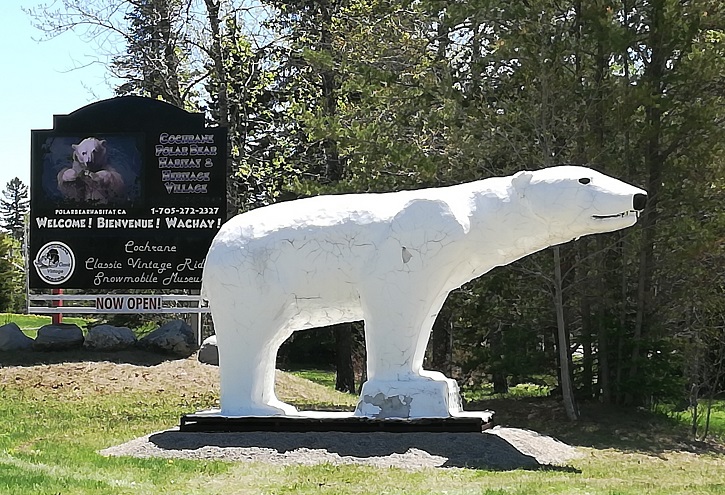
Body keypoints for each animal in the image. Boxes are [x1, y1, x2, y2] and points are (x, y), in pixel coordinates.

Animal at [201, 166, 648, 418]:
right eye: (585, 179)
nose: (639, 196)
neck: (472, 216)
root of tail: (216, 242)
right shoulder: (421, 237)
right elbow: (395, 303)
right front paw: (406, 388)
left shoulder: (445, 265)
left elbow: (427, 310)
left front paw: (431, 376)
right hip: (250, 274)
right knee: (248, 334)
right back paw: (245, 409)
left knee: (270, 339)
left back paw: (272, 406)